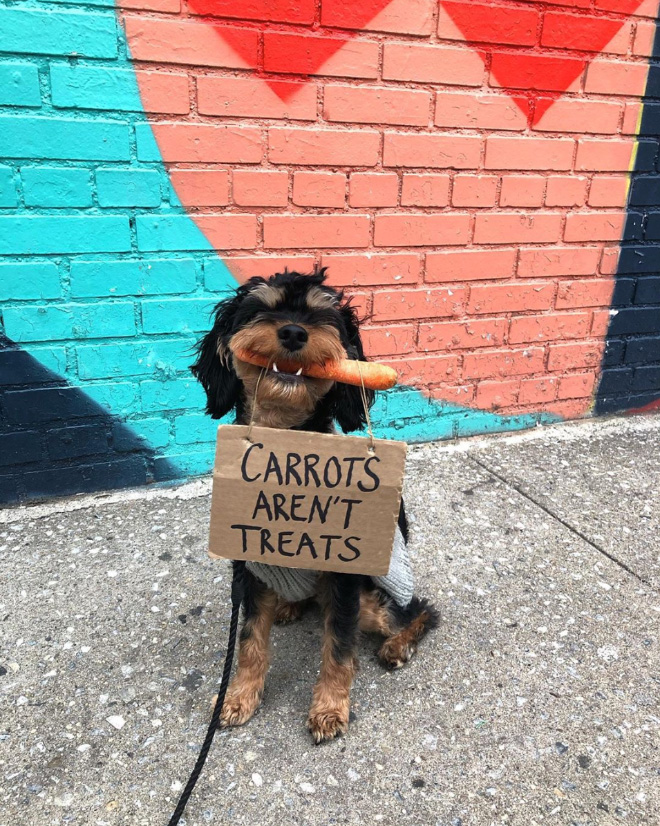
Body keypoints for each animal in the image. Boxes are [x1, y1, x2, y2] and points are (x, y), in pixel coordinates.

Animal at [191, 268, 438, 744]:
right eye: (261, 309)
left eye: (324, 316)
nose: (292, 331)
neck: (285, 444)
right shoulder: (247, 566)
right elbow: (249, 640)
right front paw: (238, 697)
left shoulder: (343, 574)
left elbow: (338, 648)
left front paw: (329, 708)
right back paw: (290, 606)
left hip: (373, 600)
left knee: (421, 610)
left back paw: (397, 645)